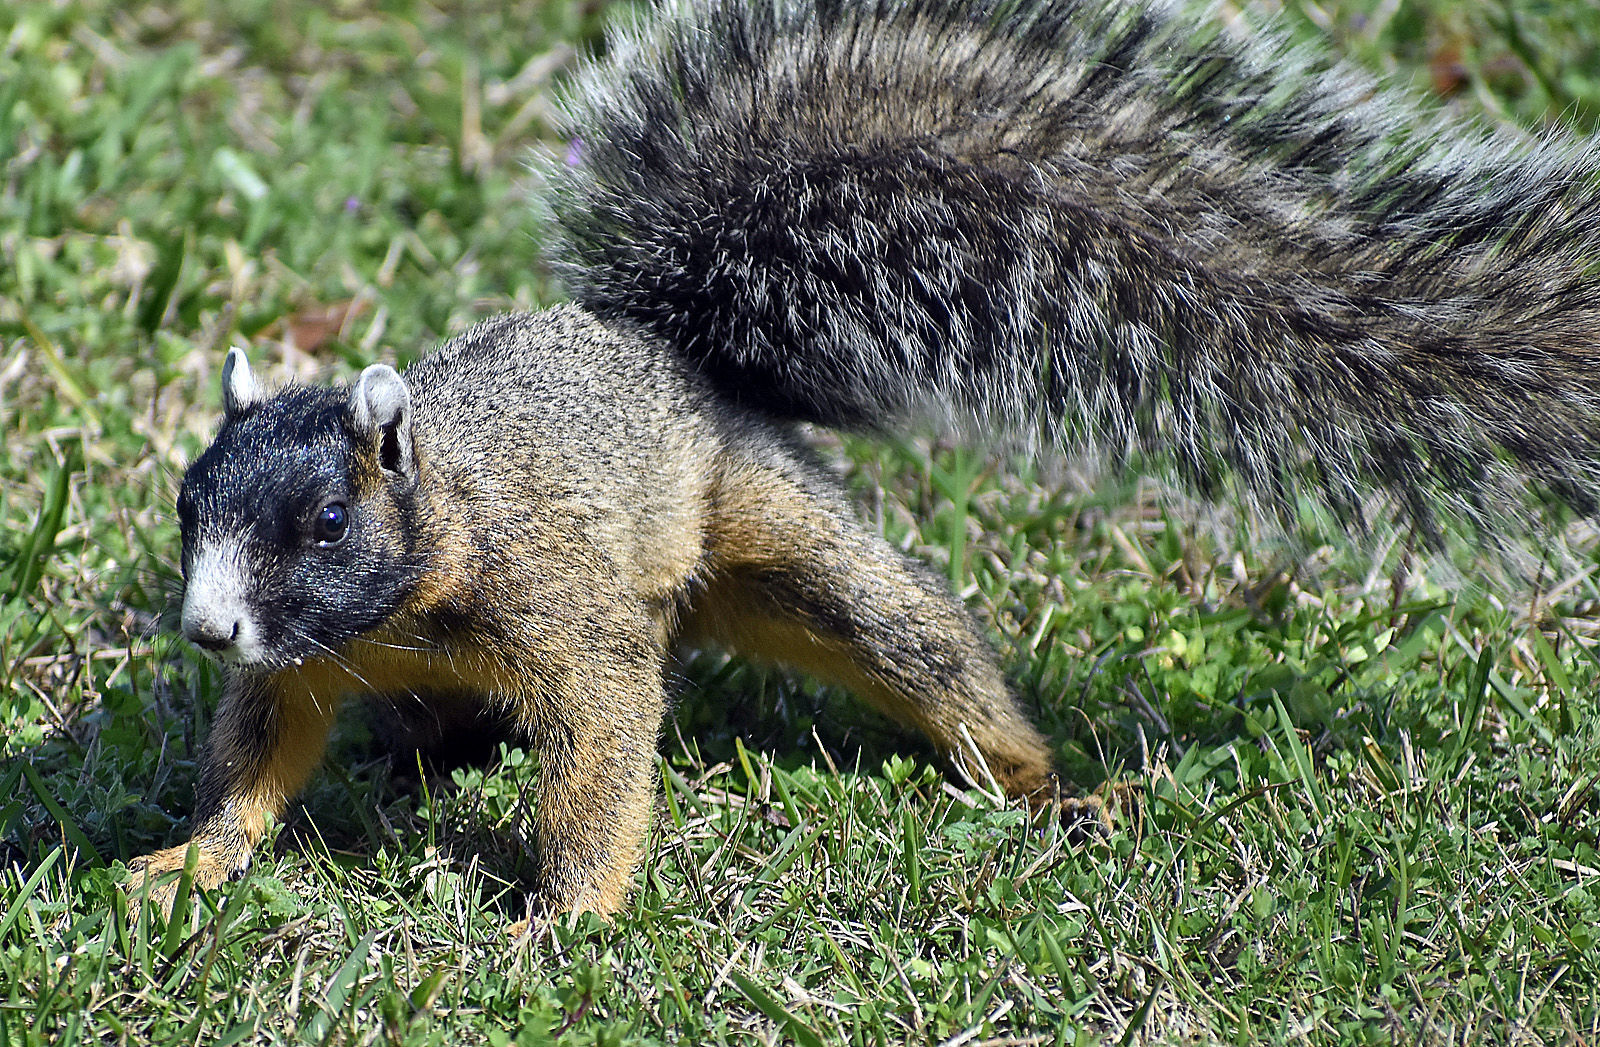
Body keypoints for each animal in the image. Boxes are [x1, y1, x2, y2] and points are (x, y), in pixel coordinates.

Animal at [128, 0, 1600, 922]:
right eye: (188, 501)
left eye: (328, 517)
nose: (207, 624)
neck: (419, 572)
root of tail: (679, 358)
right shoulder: (301, 663)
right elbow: (259, 751)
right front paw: (188, 862)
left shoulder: (564, 610)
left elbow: (603, 748)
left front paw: (563, 919)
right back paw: (420, 761)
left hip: (771, 538)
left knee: (913, 642)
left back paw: (1040, 782)